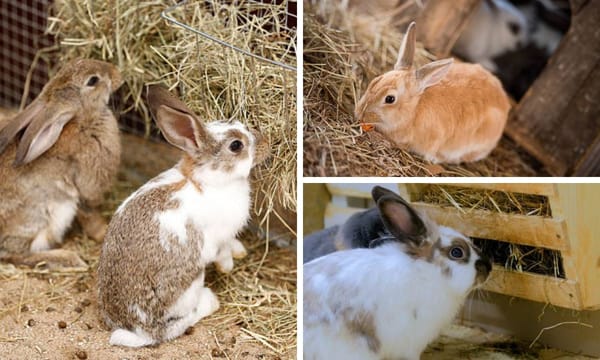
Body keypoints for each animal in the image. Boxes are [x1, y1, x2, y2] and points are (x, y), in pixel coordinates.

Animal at [0, 58, 122, 268]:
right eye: (93, 80)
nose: (117, 74)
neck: (82, 121)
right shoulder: (85, 188)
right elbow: (91, 216)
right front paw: (103, 232)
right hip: (40, 217)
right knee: (15, 255)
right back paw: (69, 259)